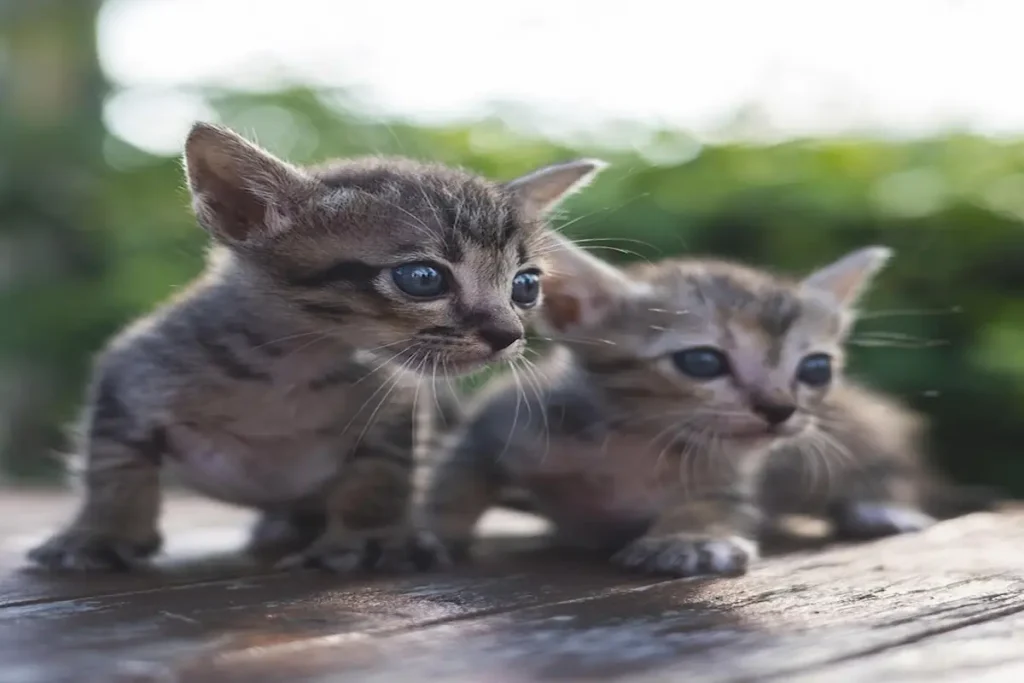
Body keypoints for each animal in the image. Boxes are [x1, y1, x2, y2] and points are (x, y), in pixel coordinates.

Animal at [421, 236, 897, 577]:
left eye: (816, 368)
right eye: (702, 362)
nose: (781, 409)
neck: (637, 444)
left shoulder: (731, 474)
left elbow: (720, 503)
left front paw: (691, 538)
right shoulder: (501, 421)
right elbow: (455, 478)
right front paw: (427, 530)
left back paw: (878, 510)